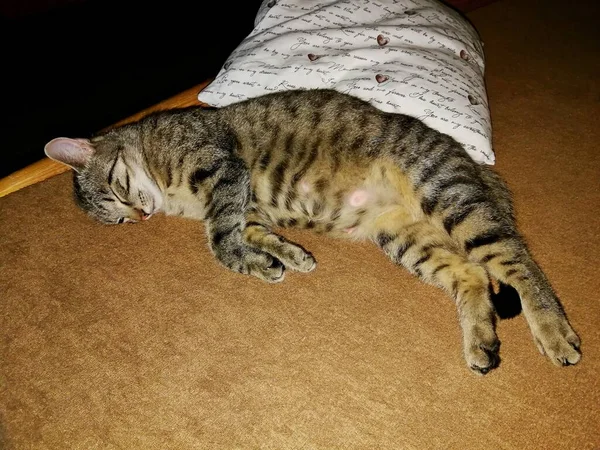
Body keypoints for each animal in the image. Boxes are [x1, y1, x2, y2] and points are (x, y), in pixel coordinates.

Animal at [45, 89, 580, 374]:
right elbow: (255, 235)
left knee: (520, 264)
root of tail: (473, 165)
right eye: (117, 220)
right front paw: (283, 259)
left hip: (448, 198)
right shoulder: (248, 206)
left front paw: (244, 259)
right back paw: (481, 343)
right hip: (409, 241)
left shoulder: (223, 170)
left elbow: (219, 239)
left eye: (116, 189)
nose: (138, 217)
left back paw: (555, 335)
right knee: (472, 275)